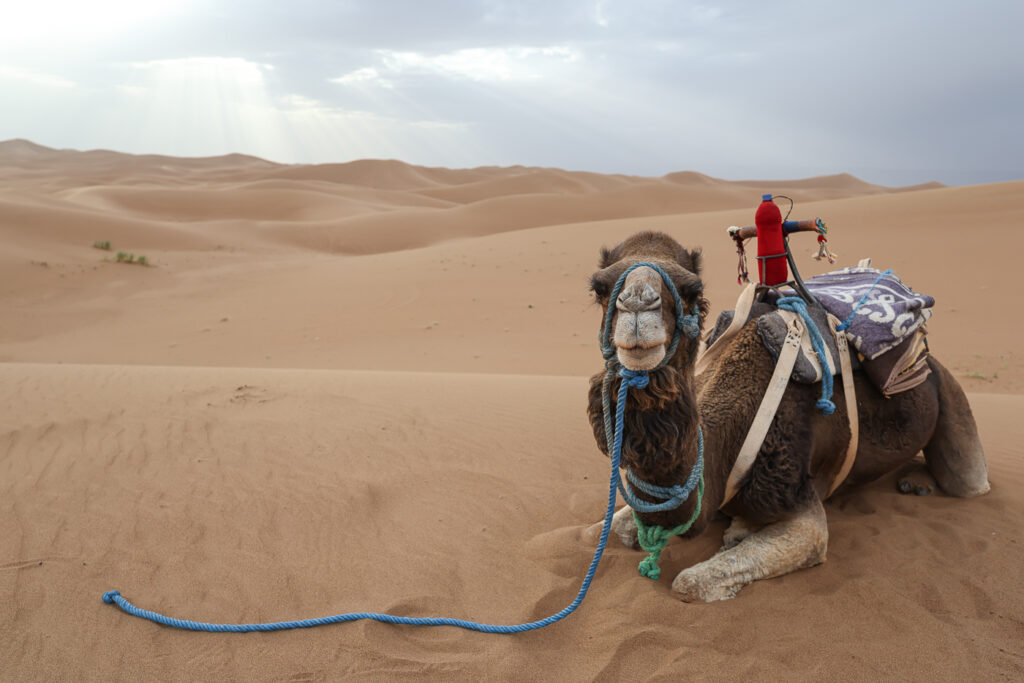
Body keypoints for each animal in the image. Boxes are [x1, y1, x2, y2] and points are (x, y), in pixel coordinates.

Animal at [586, 231, 990, 602]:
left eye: (692, 290)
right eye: (599, 287)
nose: (638, 304)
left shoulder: (798, 501)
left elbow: (689, 584)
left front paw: (734, 537)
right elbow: (601, 531)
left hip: (947, 390)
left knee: (969, 481)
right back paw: (913, 482)